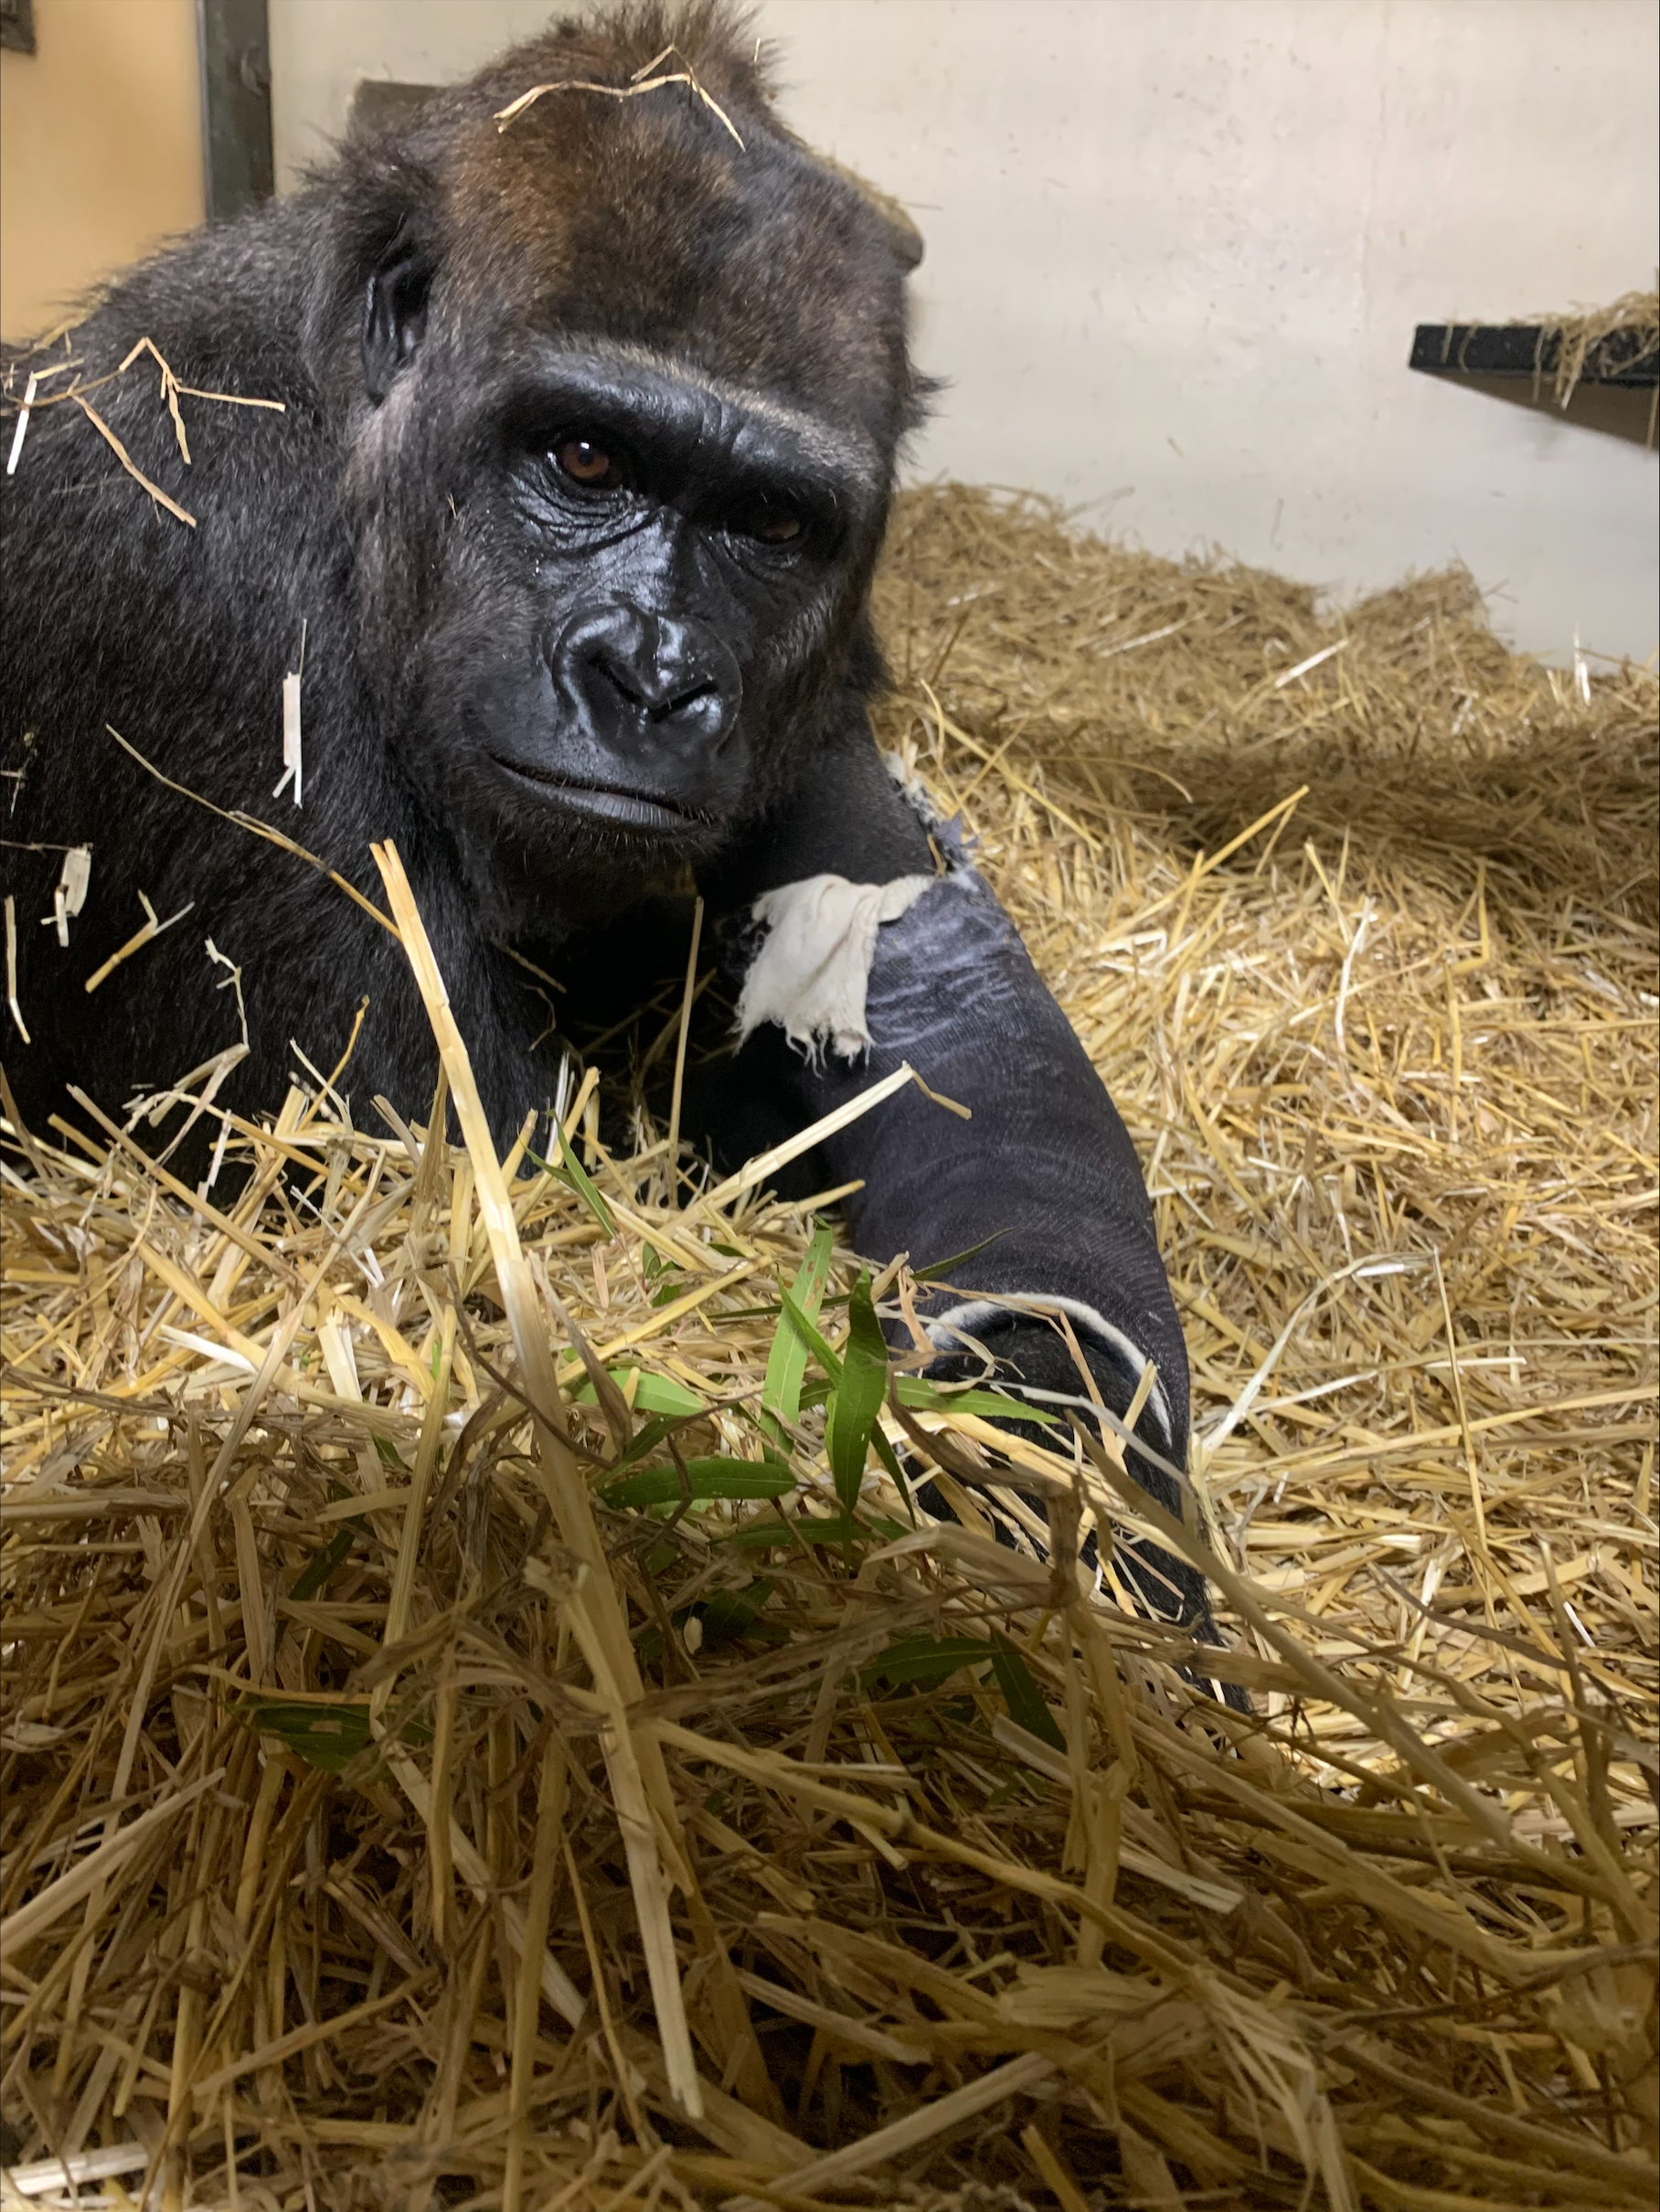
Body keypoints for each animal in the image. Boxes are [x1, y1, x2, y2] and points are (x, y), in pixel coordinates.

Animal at [0, 8, 1221, 1654]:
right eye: (583, 459)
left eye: (772, 524)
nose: (651, 677)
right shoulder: (190, 566)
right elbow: (490, 1249)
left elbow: (937, 1014)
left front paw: (1069, 1470)